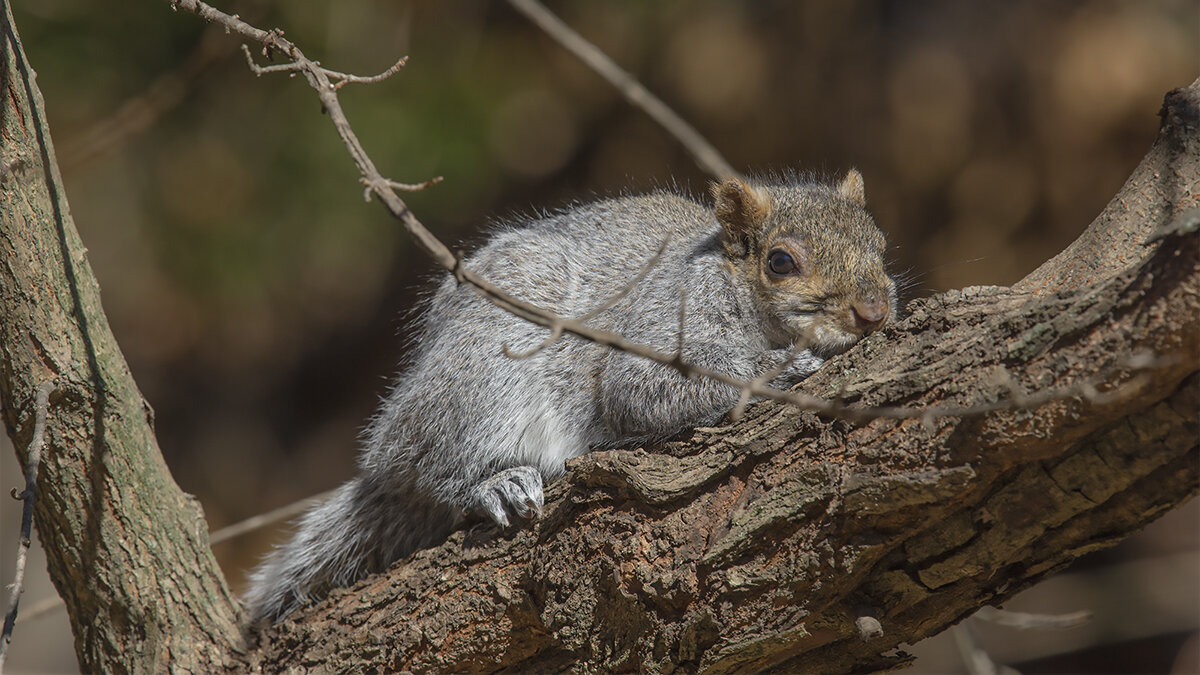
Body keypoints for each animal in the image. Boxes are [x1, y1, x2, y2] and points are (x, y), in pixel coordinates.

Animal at [243, 170, 897, 624]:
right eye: (780, 261)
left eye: (881, 245)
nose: (874, 311)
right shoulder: (659, 331)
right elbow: (641, 392)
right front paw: (786, 367)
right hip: (484, 375)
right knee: (429, 467)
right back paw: (494, 482)